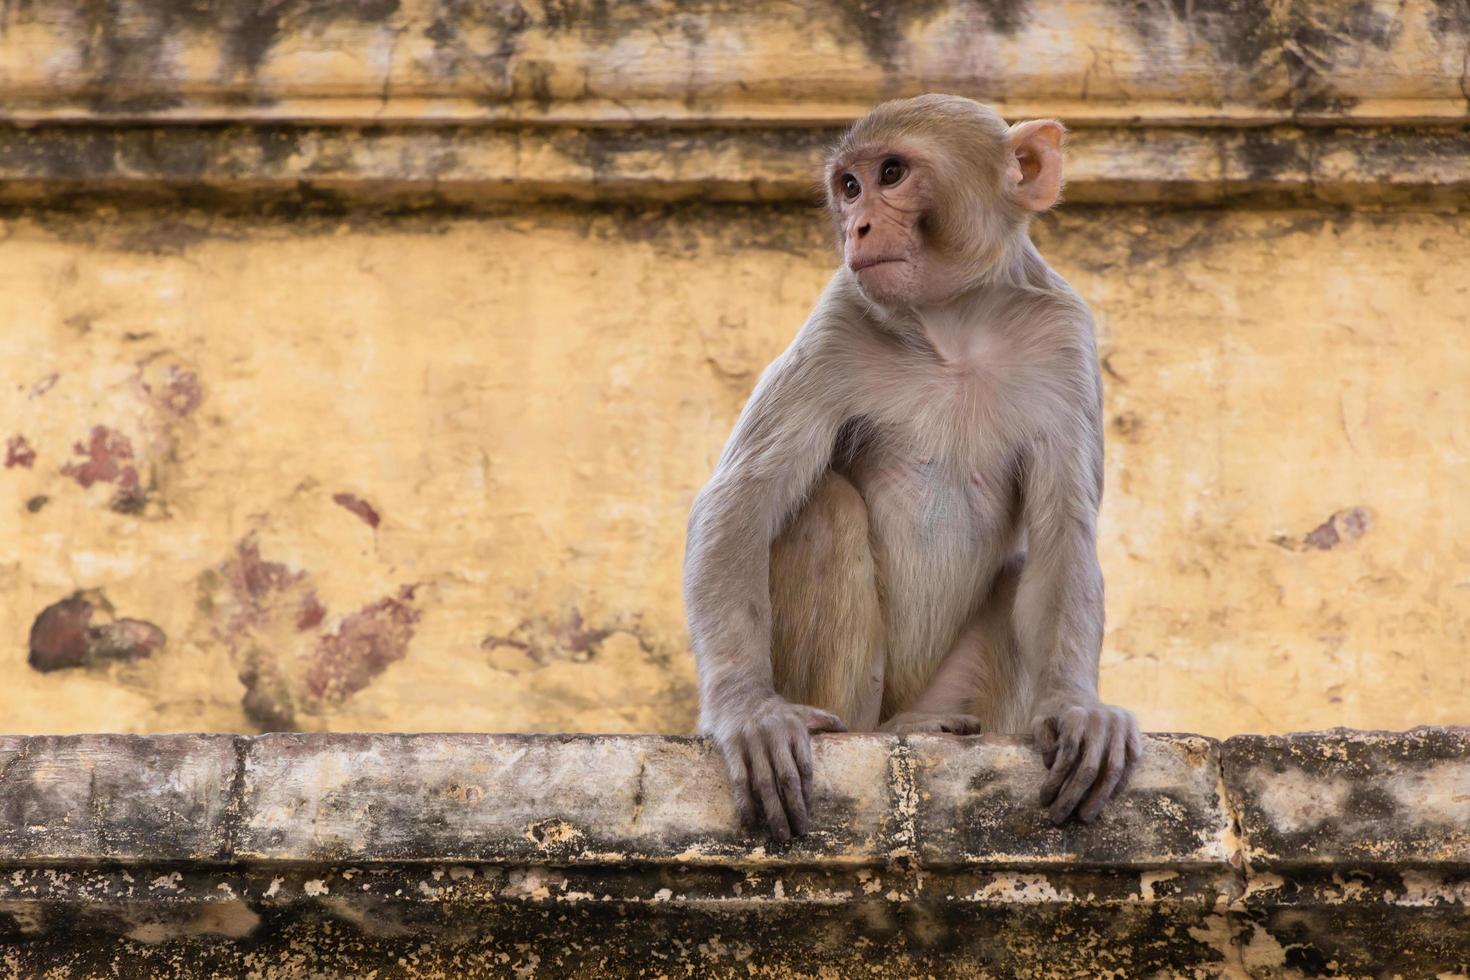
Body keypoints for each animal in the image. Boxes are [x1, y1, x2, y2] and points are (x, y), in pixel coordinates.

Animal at [682, 94, 1140, 846]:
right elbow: (740, 502)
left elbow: (1062, 538)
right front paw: (748, 711)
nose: (858, 225)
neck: (954, 326)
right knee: (826, 507)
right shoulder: (838, 321)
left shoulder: (1065, 339)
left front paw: (1077, 708)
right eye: (849, 186)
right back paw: (875, 732)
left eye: (891, 174)